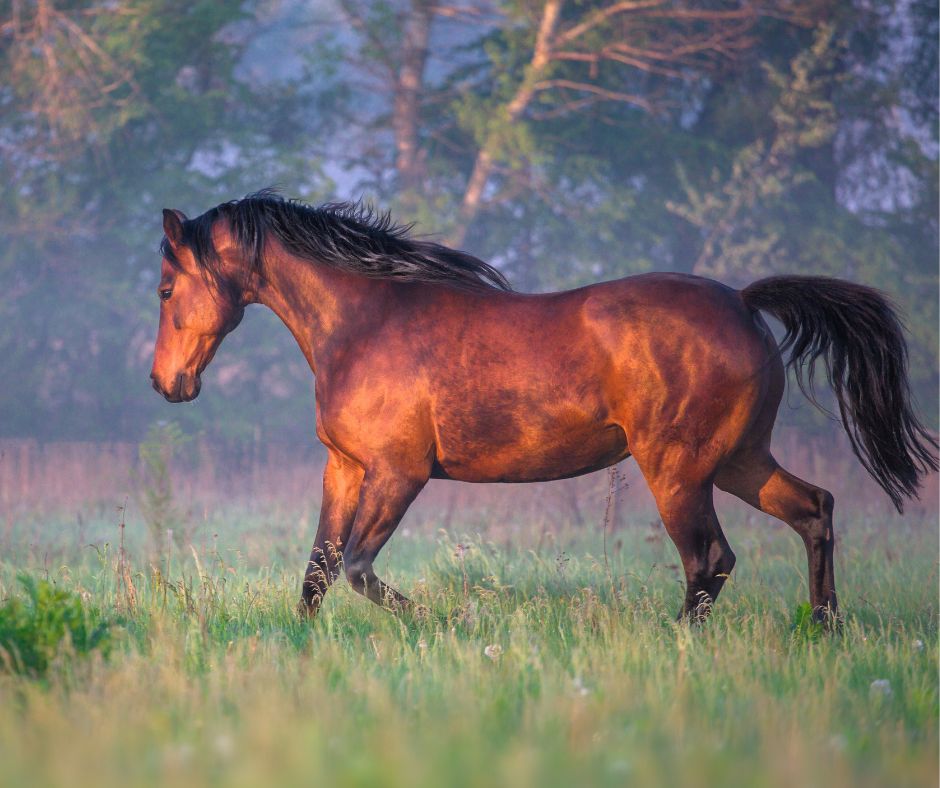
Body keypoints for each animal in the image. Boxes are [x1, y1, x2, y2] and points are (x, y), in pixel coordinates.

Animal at [151, 191, 936, 620]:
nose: (165, 384)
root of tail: (744, 303)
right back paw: (826, 630)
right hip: (740, 459)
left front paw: (447, 619)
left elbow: (359, 570)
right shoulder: (345, 467)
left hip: (679, 469)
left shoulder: (399, 473)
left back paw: (677, 643)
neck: (364, 321)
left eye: (164, 290)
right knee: (813, 511)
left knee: (709, 558)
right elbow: (318, 570)